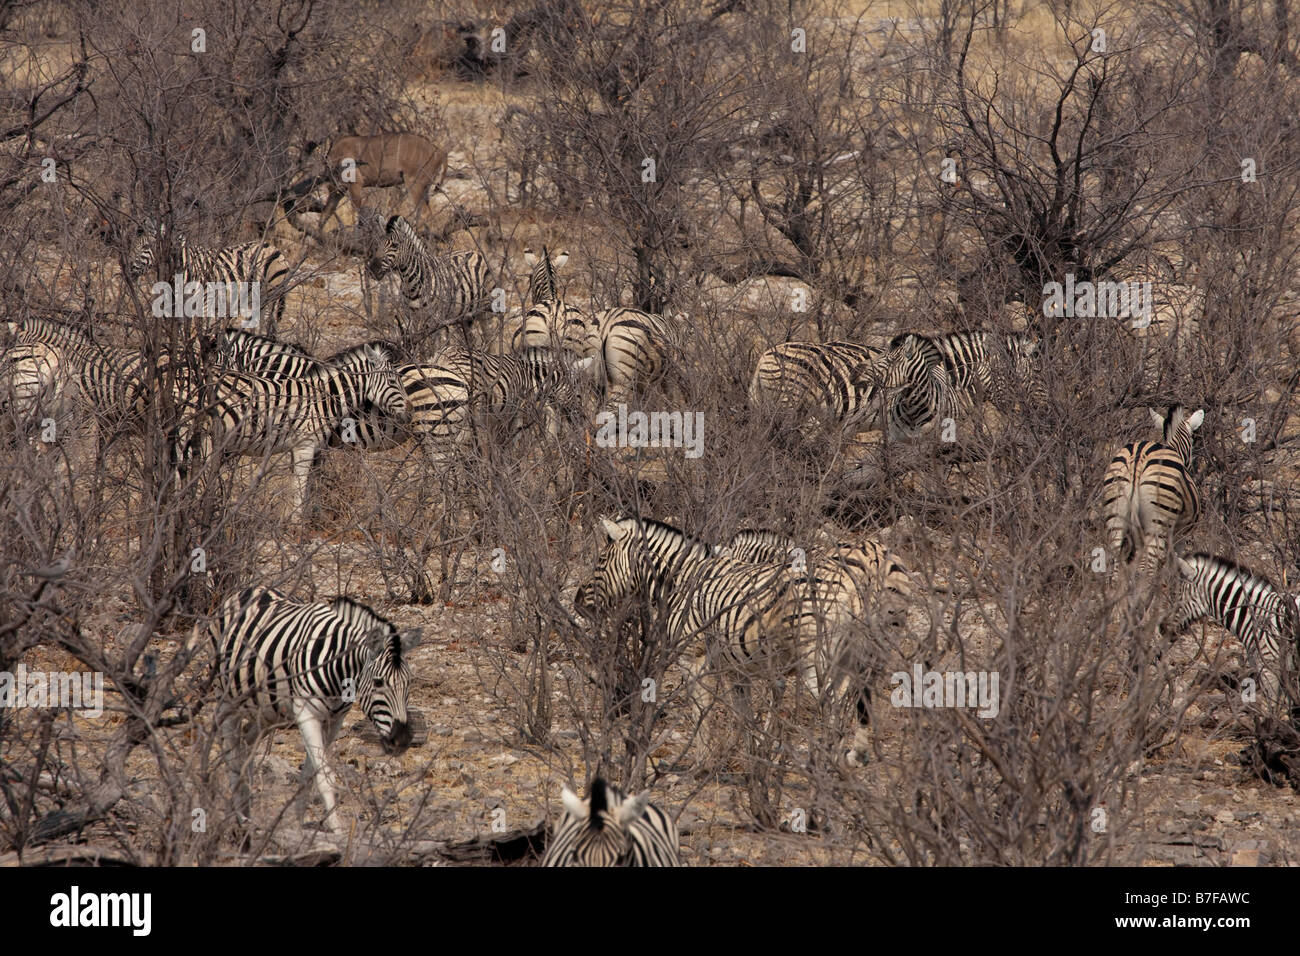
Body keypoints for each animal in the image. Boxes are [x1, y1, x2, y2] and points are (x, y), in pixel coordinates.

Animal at [127, 223, 290, 336]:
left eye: (146, 247)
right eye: (133, 245)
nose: (129, 270)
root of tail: (276, 249)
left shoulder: (205, 299)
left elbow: (197, 331)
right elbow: (182, 333)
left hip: (272, 293)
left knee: (268, 322)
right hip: (260, 298)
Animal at [175, 344, 409, 511]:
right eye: (392, 382)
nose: (410, 413)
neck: (322, 399)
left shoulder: (297, 448)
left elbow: (294, 488)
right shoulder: (305, 445)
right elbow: (300, 489)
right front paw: (296, 529)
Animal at [191, 586, 421, 835]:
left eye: (409, 682)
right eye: (379, 683)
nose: (402, 740)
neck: (338, 671)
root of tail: (246, 590)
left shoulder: (334, 721)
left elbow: (309, 775)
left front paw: (296, 823)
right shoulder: (307, 714)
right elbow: (323, 776)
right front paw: (336, 830)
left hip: (267, 710)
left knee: (246, 743)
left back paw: (247, 808)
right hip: (226, 697)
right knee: (232, 750)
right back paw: (239, 816)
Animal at [1102, 406, 1204, 574]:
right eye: (1192, 440)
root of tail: (1137, 460)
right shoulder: (1180, 537)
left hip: (1116, 515)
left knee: (1118, 565)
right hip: (1158, 521)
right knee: (1148, 566)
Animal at [1163, 554, 1300, 718]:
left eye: (1177, 597)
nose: (1162, 628)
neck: (1253, 615)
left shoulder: (1269, 667)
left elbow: (1274, 709)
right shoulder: (1285, 672)